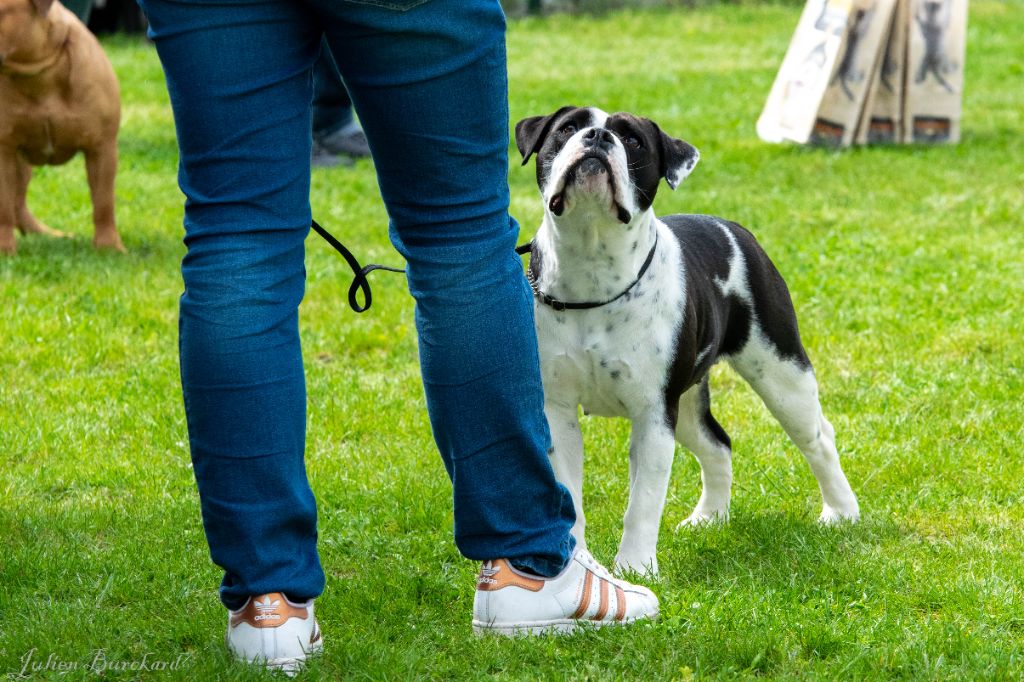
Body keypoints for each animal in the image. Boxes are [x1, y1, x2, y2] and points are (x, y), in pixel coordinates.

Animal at [0, 0, 121, 253]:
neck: (40, 75)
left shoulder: (102, 148)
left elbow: (104, 202)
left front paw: (109, 247)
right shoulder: (3, 151)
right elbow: (3, 206)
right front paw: (5, 250)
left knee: (18, 203)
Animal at [516, 107, 860, 573]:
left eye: (633, 140)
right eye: (568, 128)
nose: (598, 136)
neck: (592, 260)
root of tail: (731, 228)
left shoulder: (654, 415)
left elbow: (643, 503)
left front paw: (635, 568)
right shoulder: (559, 412)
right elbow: (570, 497)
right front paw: (579, 564)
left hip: (781, 376)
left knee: (818, 438)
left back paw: (841, 512)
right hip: (689, 403)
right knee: (717, 443)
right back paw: (709, 518)